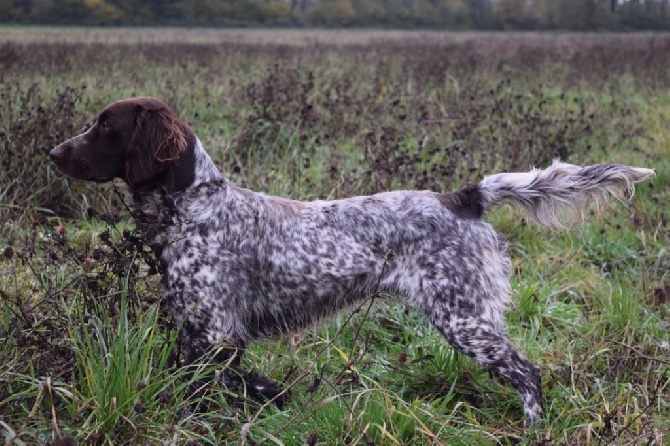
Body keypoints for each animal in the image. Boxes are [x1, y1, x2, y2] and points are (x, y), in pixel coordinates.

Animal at [48, 96, 656, 426]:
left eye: (106, 125)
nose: (53, 151)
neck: (195, 206)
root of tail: (462, 197)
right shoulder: (207, 337)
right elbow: (249, 384)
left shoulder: (212, 336)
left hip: (465, 318)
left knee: (529, 376)